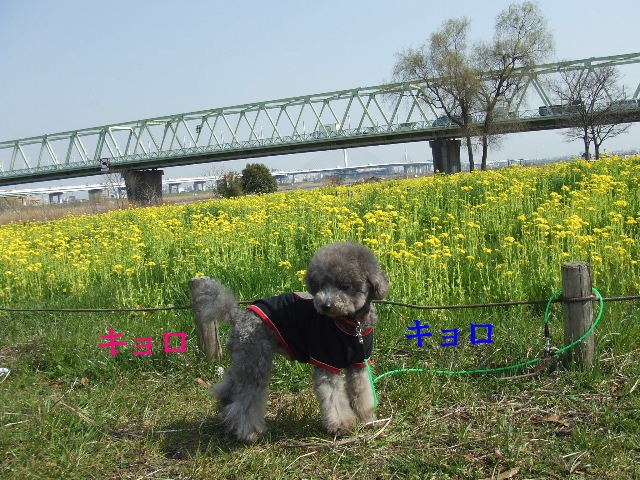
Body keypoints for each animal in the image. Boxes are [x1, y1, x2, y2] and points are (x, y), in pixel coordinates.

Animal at [209, 242, 390, 440]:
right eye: (321, 285)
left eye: (345, 286)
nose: (325, 305)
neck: (351, 324)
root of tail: (237, 315)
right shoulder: (326, 362)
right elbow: (333, 398)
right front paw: (341, 425)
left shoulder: (359, 362)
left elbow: (362, 391)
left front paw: (367, 418)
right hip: (256, 360)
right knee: (246, 400)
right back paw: (248, 432)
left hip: (245, 358)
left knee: (232, 386)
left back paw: (225, 408)